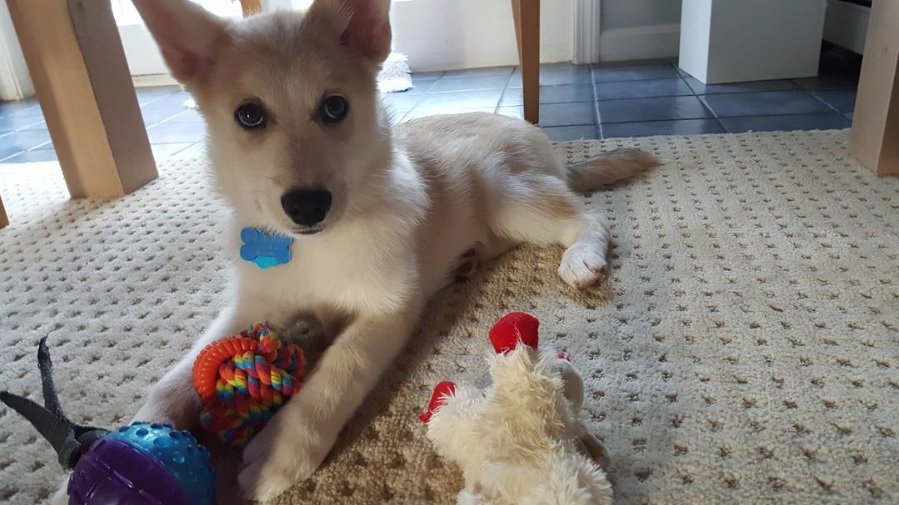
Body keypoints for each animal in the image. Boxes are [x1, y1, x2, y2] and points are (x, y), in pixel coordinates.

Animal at [56, 0, 656, 500]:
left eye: (334, 107)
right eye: (249, 115)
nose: (306, 206)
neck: (314, 247)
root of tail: (540, 140)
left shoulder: (387, 307)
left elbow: (338, 373)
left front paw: (281, 451)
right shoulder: (252, 306)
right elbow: (173, 379)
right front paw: (98, 460)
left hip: (506, 190)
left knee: (584, 216)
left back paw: (581, 257)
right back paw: (467, 259)